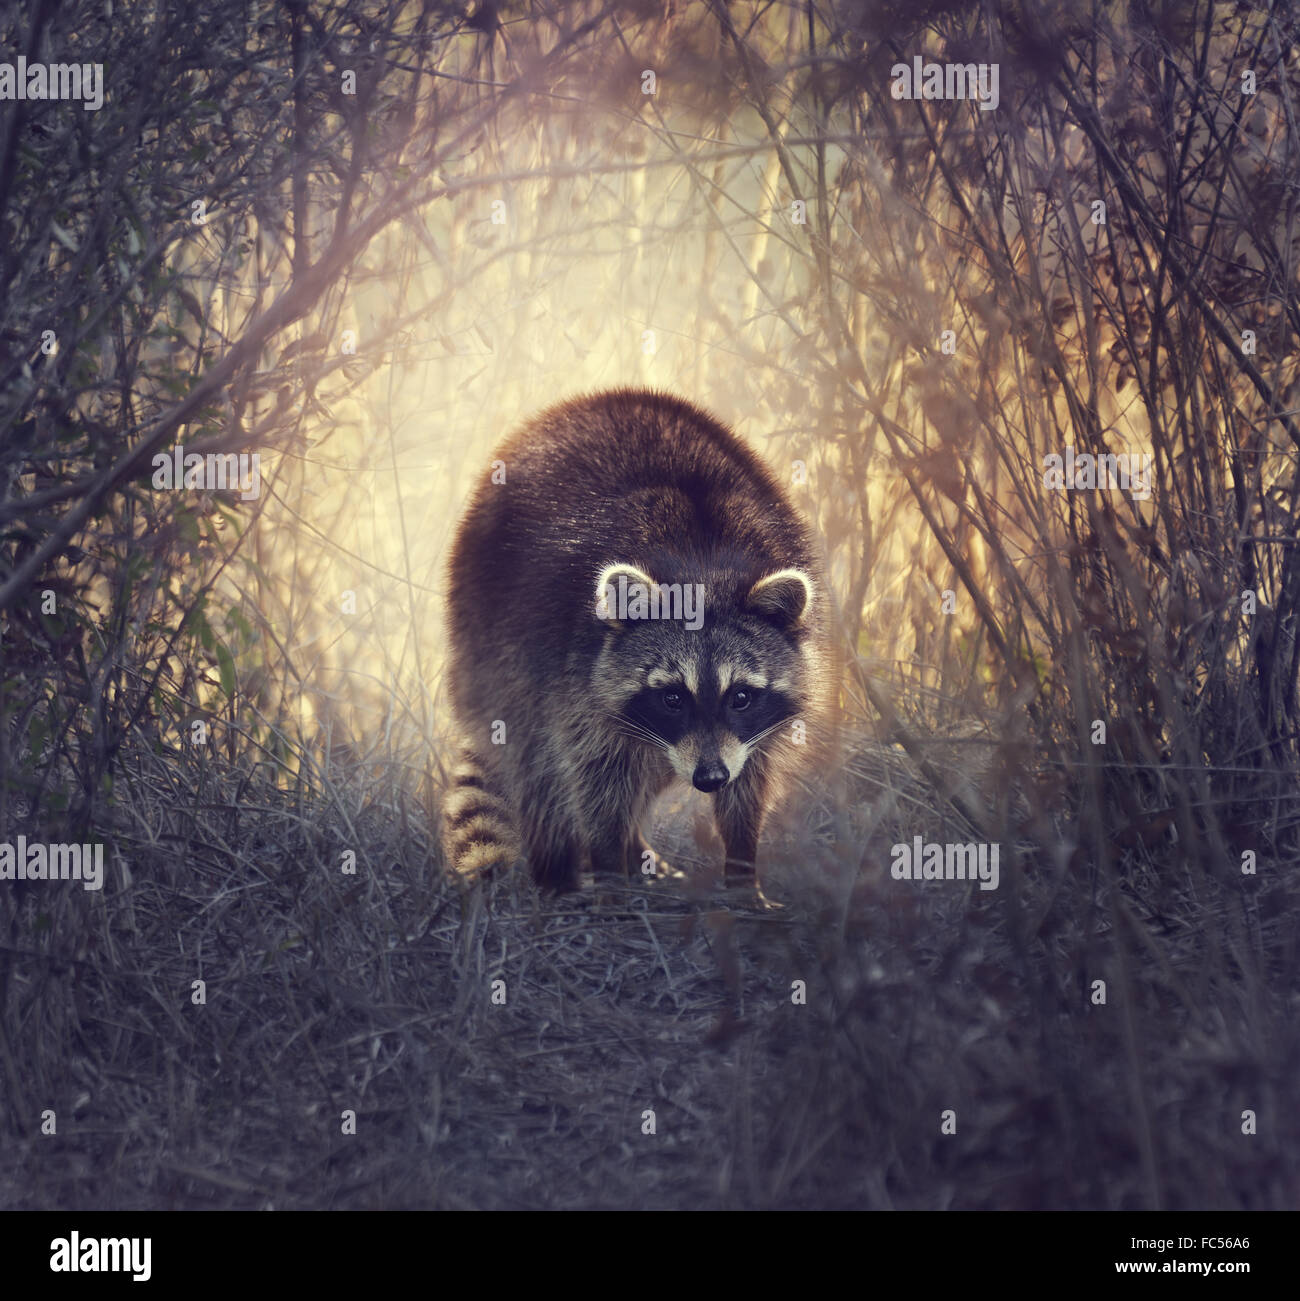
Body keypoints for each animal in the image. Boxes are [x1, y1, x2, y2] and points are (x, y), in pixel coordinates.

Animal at [441, 388, 832, 900]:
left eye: (741, 696)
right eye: (672, 697)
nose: (709, 778)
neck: (702, 566)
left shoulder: (752, 728)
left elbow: (751, 778)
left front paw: (742, 866)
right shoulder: (570, 666)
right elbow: (594, 774)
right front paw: (610, 868)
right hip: (489, 635)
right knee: (538, 762)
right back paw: (559, 873)